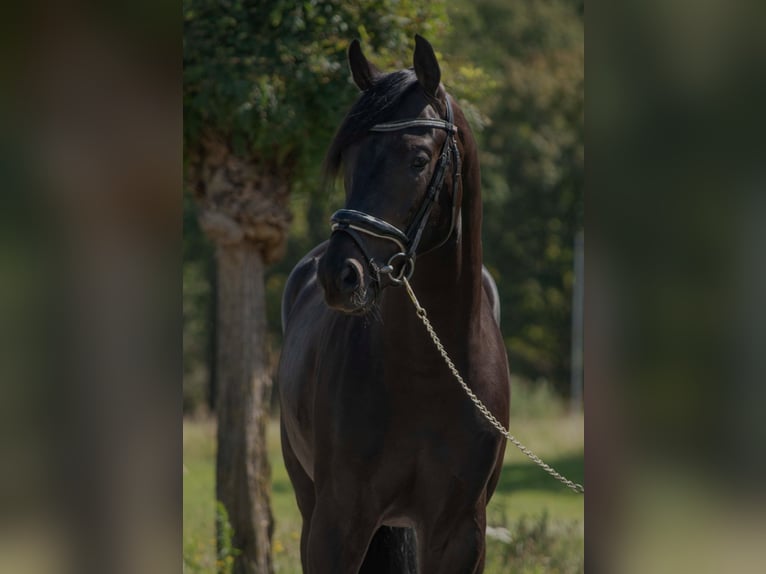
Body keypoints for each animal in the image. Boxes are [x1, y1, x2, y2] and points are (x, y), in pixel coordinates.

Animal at [278, 35, 510, 572]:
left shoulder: (460, 533)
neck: (426, 369)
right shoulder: (338, 523)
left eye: (419, 159)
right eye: (349, 158)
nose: (340, 275)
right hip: (309, 501)